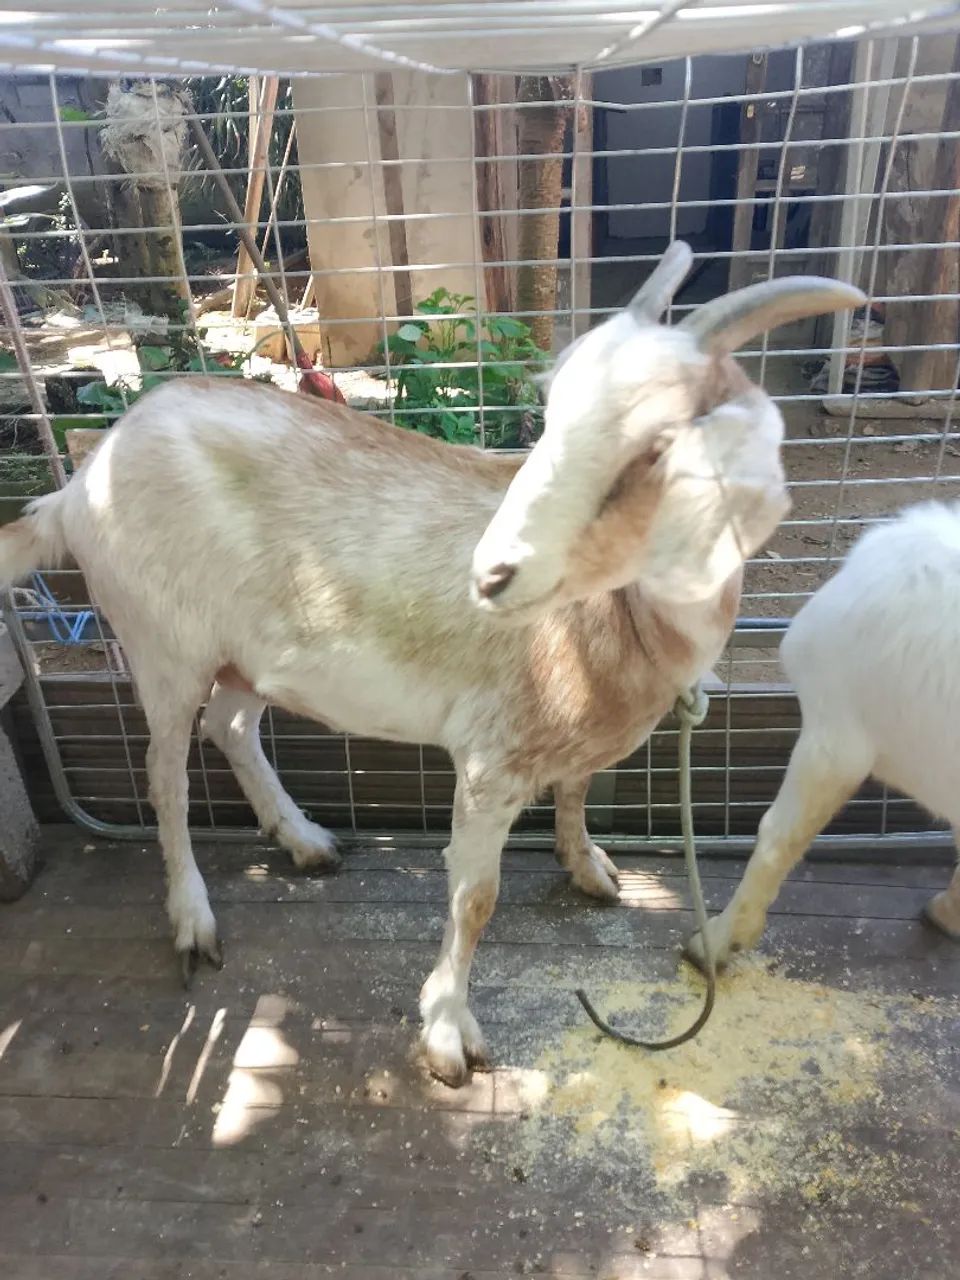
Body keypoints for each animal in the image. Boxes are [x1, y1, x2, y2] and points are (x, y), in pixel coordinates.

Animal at [0, 242, 862, 1084]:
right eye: (550, 415)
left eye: (658, 446)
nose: (494, 574)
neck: (615, 618)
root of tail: (78, 485)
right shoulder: (491, 759)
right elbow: (475, 897)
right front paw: (449, 1035)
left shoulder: (563, 737)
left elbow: (577, 791)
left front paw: (589, 868)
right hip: (164, 643)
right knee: (165, 777)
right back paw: (194, 921)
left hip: (246, 656)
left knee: (232, 726)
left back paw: (304, 840)